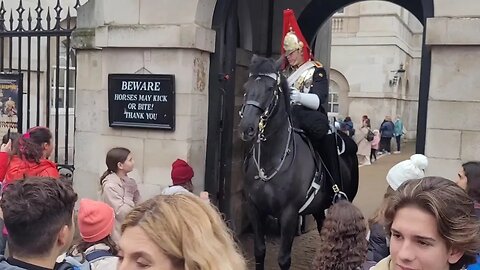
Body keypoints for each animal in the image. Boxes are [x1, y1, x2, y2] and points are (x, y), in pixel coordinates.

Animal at [238, 55, 358, 270]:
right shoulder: (255, 208)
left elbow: (284, 259)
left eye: (270, 88)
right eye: (246, 85)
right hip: (319, 207)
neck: (270, 161)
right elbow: (259, 250)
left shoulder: (289, 214)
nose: (247, 128)